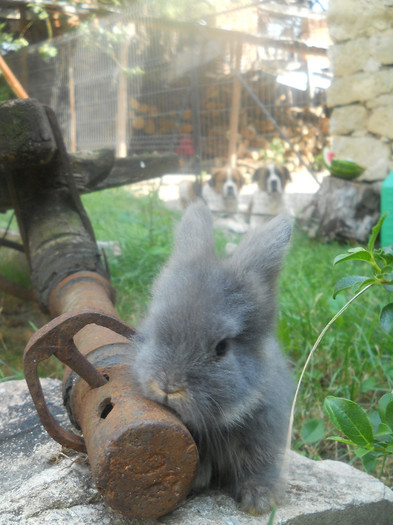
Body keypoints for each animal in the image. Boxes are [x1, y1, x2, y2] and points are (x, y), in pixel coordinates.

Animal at [133, 201, 292, 512]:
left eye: (221, 348)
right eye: (156, 325)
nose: (168, 386)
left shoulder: (264, 432)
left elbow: (259, 466)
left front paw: (260, 501)